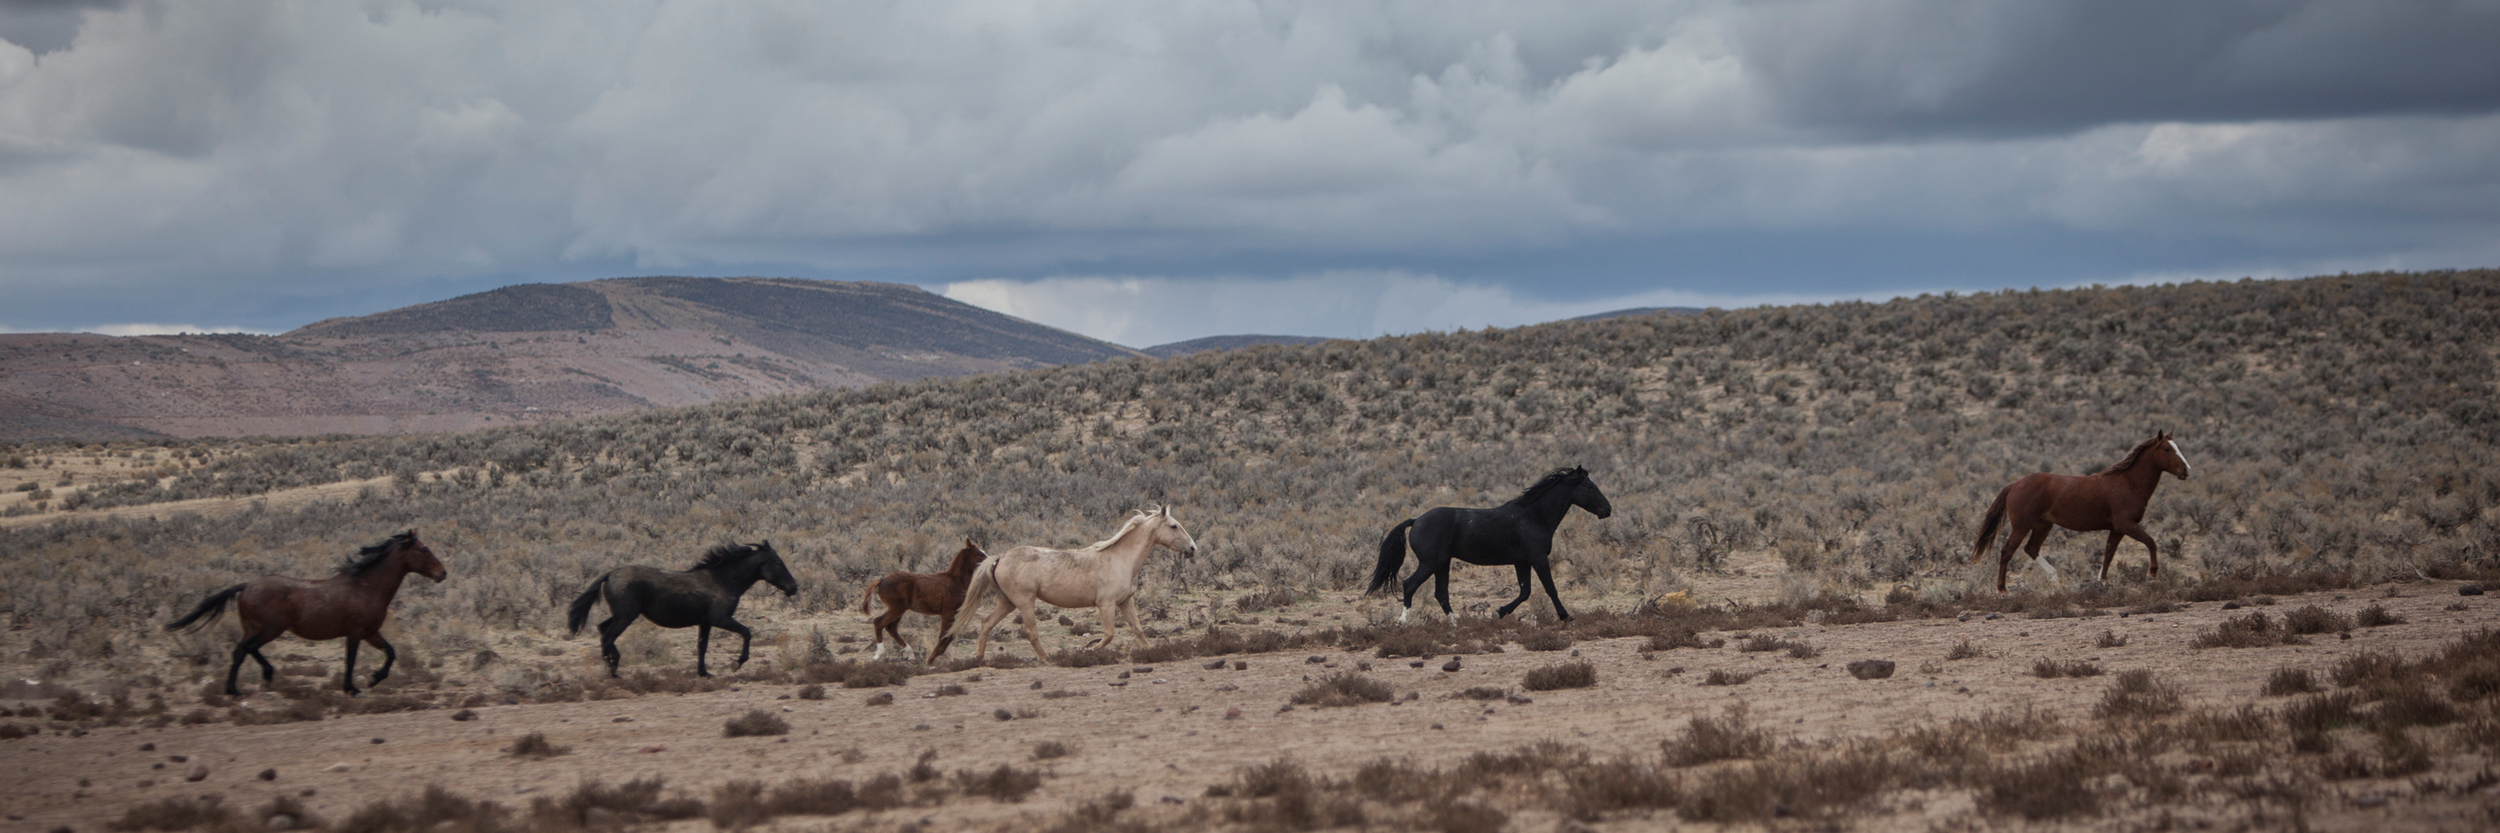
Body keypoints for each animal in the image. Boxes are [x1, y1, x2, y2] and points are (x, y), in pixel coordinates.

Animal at [168, 532, 452, 695]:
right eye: (424, 549)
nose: (443, 573)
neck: (366, 586)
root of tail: (246, 586)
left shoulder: (371, 632)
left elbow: (391, 653)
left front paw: (374, 679)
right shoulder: (356, 633)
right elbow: (350, 660)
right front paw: (352, 688)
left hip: (254, 629)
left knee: (243, 650)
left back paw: (250, 682)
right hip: (270, 629)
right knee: (245, 650)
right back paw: (247, 684)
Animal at [570, 537, 795, 675]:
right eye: (778, 562)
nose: (794, 587)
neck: (722, 581)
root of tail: (610, 574)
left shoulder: (705, 623)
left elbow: (702, 646)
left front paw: (704, 673)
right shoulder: (720, 619)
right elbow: (747, 632)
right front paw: (737, 663)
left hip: (620, 615)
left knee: (602, 629)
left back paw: (610, 666)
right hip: (626, 616)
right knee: (607, 637)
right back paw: (613, 671)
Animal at [945, 505, 1200, 660]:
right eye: (1174, 526)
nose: (1193, 548)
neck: (1120, 558)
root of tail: (1000, 557)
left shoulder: (1125, 601)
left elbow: (1138, 630)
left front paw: (1150, 652)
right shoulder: (1106, 604)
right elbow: (1109, 635)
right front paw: (1085, 650)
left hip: (1007, 602)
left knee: (986, 623)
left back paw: (979, 657)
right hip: (1024, 601)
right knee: (1031, 632)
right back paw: (1047, 660)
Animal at [1380, 462, 1610, 620]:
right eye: (1589, 486)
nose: (1608, 509)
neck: (1533, 516)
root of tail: (1416, 520)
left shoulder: (1522, 562)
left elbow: (1525, 592)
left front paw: (1499, 612)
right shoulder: (1538, 559)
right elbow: (1550, 589)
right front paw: (1566, 617)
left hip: (1442, 564)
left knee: (1441, 594)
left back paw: (1456, 625)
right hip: (1430, 563)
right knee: (1410, 585)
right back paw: (1403, 621)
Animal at [1970, 427, 2190, 590]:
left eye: (2178, 447)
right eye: (2167, 449)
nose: (2186, 471)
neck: (2127, 483)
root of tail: (2014, 484)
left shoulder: (2117, 529)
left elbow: (2108, 555)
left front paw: (2101, 582)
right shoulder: (2126, 525)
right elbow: (2151, 542)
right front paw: (2152, 573)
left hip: (2043, 525)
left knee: (2031, 549)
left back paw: (2054, 578)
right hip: (2022, 526)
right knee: (2007, 551)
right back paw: (2002, 589)